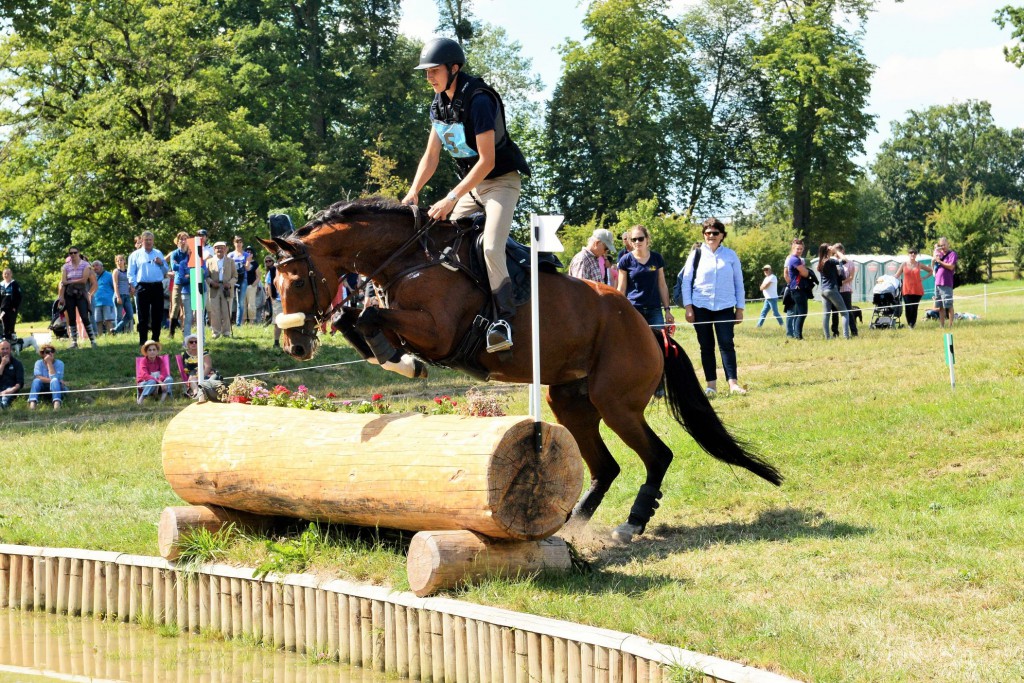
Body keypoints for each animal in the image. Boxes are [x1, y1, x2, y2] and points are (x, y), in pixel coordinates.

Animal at [260, 197, 778, 544]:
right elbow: (356, 317)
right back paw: (574, 522)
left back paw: (631, 523)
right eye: (270, 286)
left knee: (657, 456)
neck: (410, 259)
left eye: (297, 281)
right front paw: (393, 358)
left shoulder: (439, 332)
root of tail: (652, 330)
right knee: (605, 466)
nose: (296, 345)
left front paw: (399, 360)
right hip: (568, 400)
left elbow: (366, 316)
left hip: (616, 402)